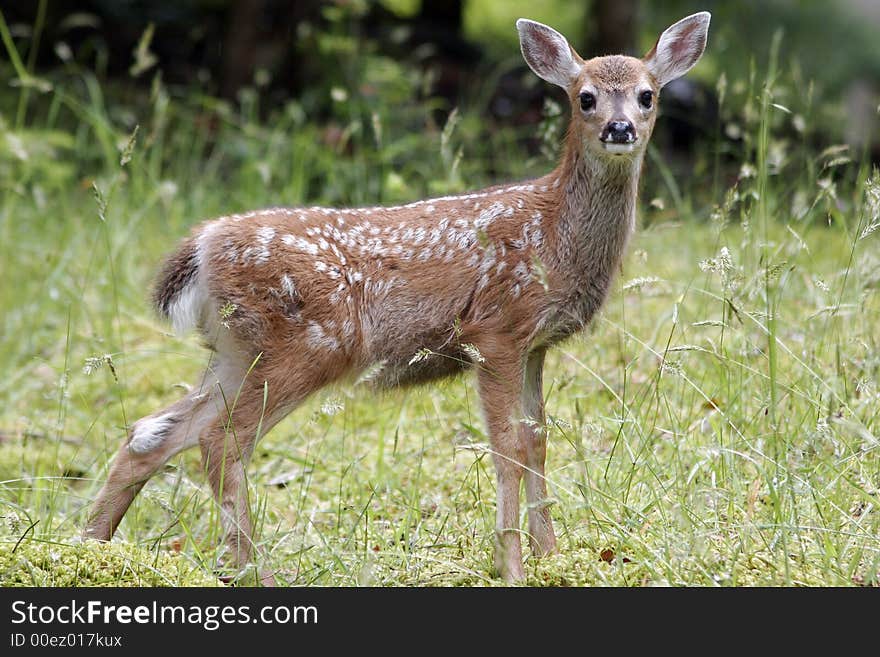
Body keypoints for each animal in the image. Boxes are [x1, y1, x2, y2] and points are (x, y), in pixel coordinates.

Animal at [86, 12, 712, 580]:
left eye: (647, 96)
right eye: (585, 98)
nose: (619, 129)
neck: (555, 234)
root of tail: (202, 245)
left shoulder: (536, 345)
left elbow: (537, 441)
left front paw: (552, 558)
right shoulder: (495, 330)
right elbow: (507, 448)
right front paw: (512, 567)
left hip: (237, 351)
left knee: (153, 432)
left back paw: (92, 547)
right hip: (307, 345)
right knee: (220, 443)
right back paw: (254, 573)